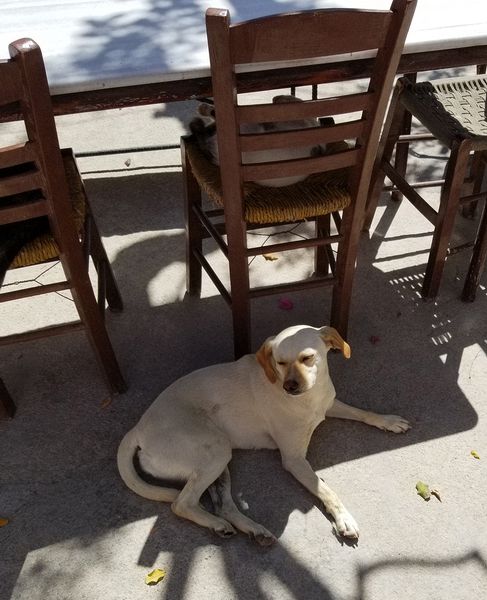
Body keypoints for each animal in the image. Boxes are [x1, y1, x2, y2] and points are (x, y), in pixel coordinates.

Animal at [119, 326, 412, 548]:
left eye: (307, 358)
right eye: (280, 362)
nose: (290, 386)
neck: (311, 399)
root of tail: (137, 429)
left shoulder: (329, 405)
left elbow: (363, 412)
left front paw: (388, 421)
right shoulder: (294, 460)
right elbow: (325, 489)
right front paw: (343, 519)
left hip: (219, 462)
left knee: (222, 505)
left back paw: (250, 529)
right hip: (216, 449)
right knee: (181, 503)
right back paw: (219, 524)